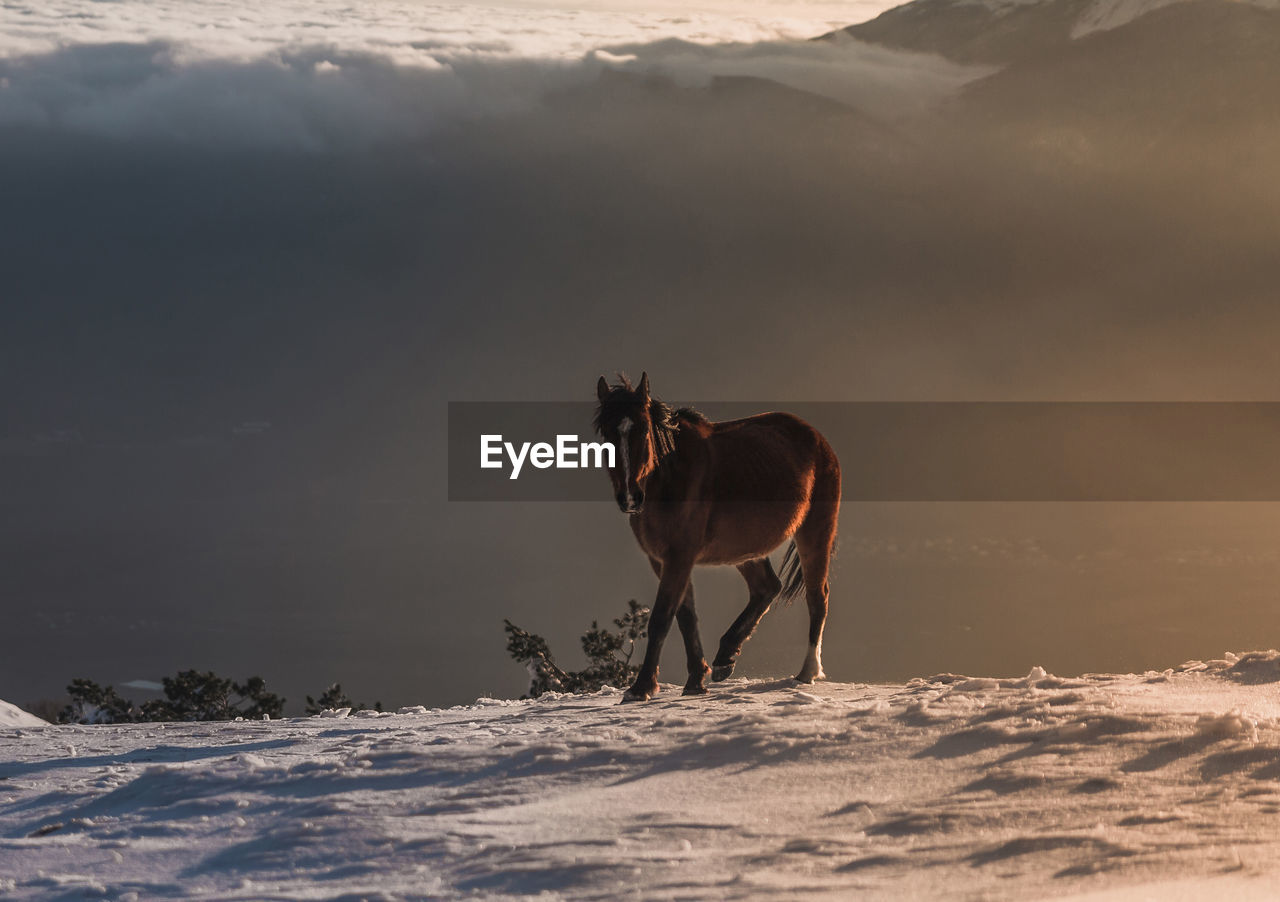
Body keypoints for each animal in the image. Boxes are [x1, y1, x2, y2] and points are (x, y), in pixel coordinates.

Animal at [596, 368, 844, 701]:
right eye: (606, 434)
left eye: (645, 430)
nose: (630, 497)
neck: (668, 479)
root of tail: (818, 439)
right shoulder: (663, 560)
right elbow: (685, 616)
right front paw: (695, 681)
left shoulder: (679, 556)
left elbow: (662, 617)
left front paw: (641, 687)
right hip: (747, 549)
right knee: (767, 588)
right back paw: (726, 657)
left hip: (814, 531)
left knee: (817, 597)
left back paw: (807, 672)